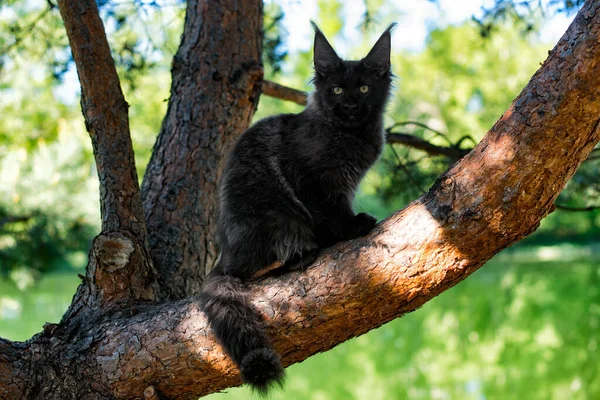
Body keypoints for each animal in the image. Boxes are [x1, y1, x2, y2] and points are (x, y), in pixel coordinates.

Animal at [199, 21, 396, 394]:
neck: (347, 136)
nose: (350, 104)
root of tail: (224, 258)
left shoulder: (341, 184)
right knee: (258, 269)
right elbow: (330, 214)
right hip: (277, 215)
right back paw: (302, 255)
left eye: (364, 88)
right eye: (336, 89)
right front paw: (351, 229)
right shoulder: (311, 181)